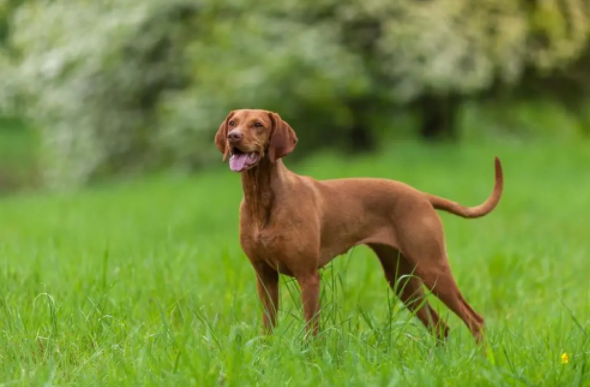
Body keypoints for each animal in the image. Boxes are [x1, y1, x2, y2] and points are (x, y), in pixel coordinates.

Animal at [215, 109, 506, 346]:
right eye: (233, 122)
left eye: (258, 125)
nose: (233, 136)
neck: (262, 199)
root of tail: (421, 196)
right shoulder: (264, 276)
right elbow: (268, 328)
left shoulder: (308, 276)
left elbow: (312, 331)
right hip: (401, 279)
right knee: (440, 327)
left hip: (432, 268)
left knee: (475, 320)